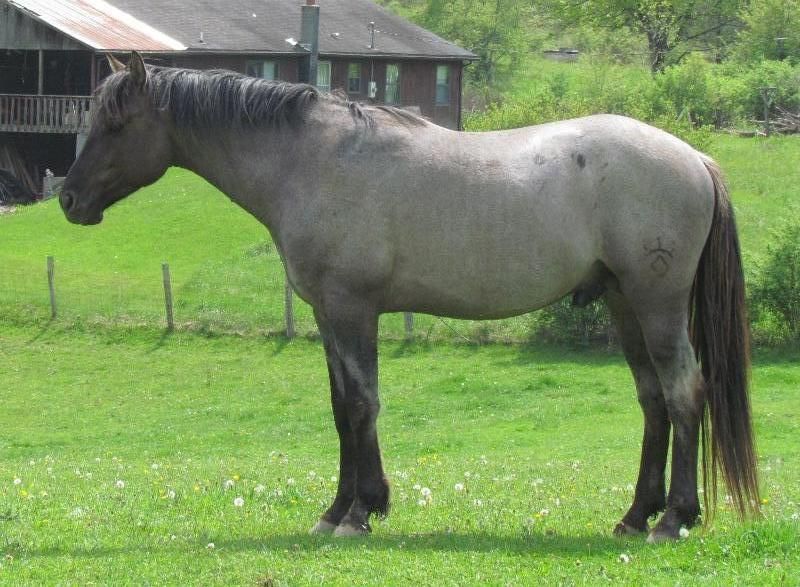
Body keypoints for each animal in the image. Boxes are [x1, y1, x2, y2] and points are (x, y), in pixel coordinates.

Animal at [61, 52, 759, 542]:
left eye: (117, 122)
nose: (68, 199)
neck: (314, 159)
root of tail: (694, 158)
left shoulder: (353, 309)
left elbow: (362, 404)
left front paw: (360, 513)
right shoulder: (327, 314)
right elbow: (341, 407)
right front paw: (340, 508)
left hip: (656, 306)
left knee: (683, 395)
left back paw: (673, 519)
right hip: (624, 306)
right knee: (653, 404)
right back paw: (634, 517)